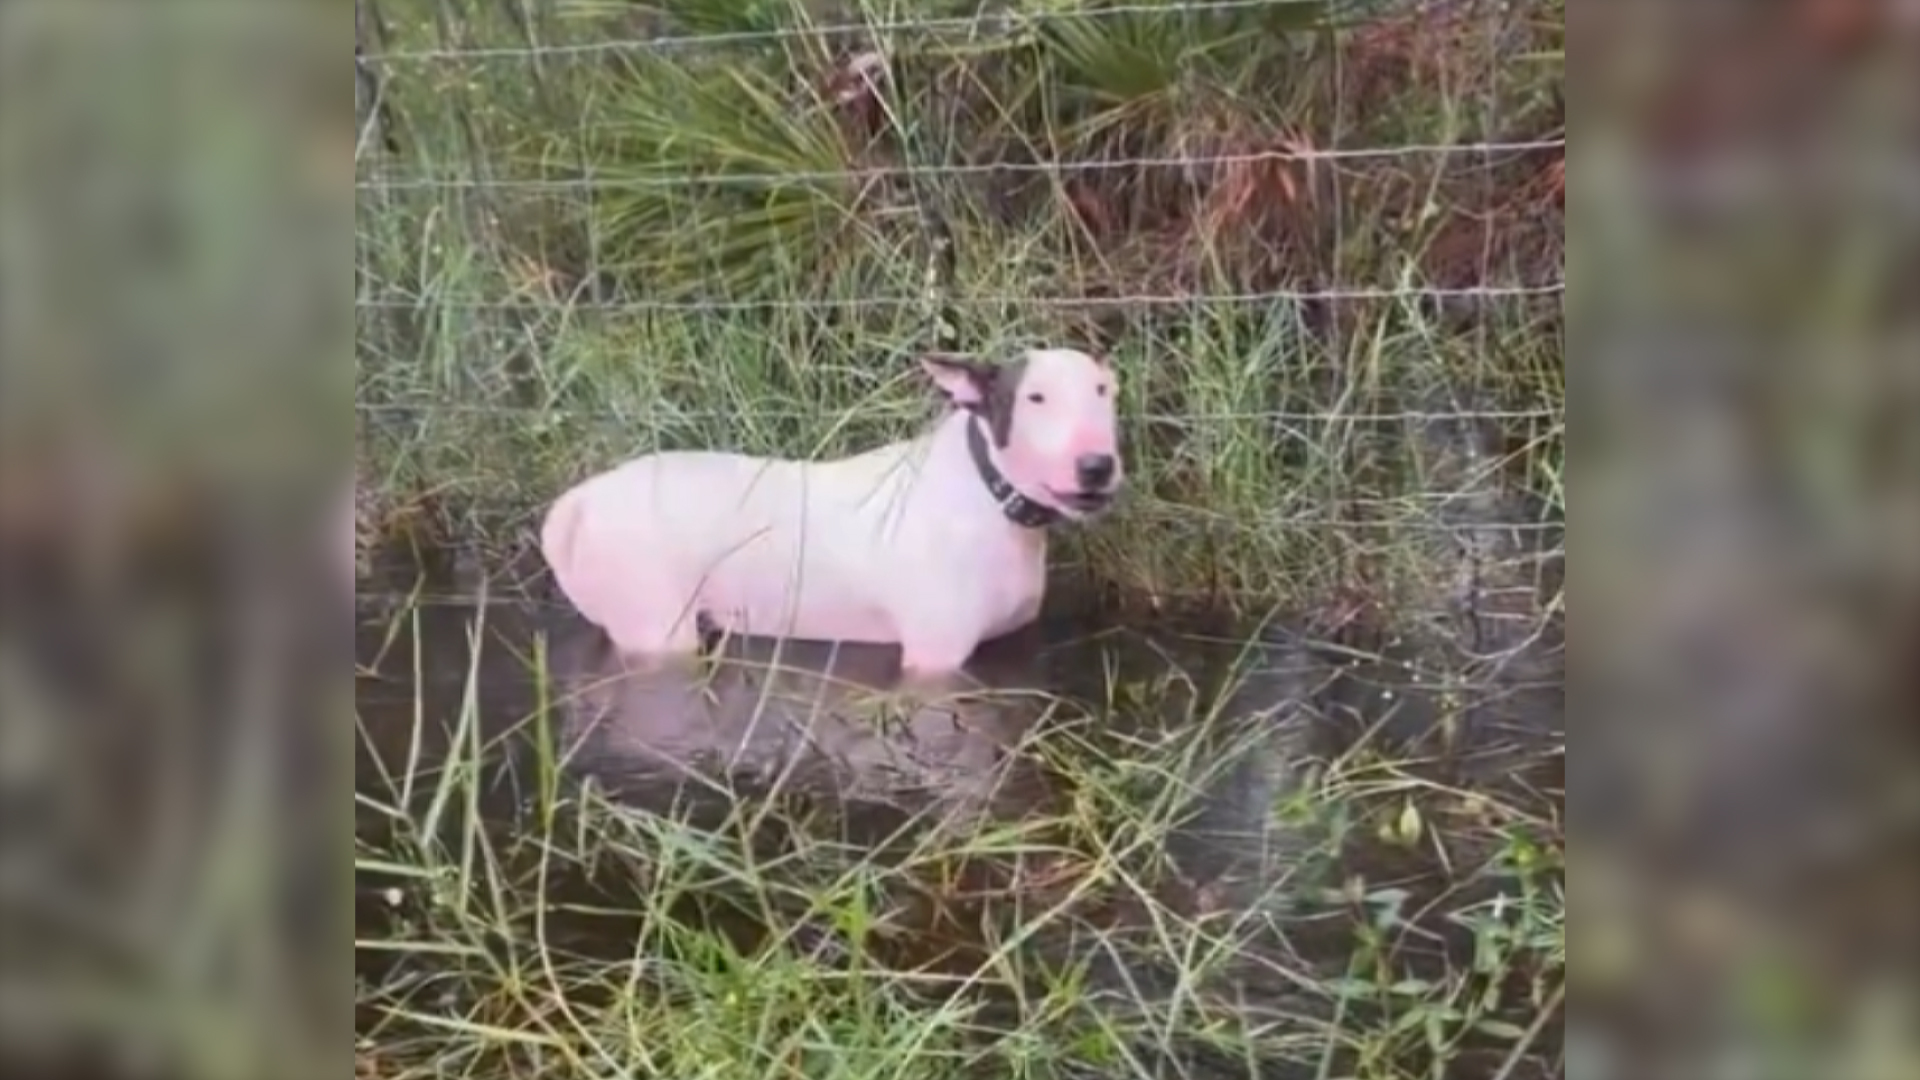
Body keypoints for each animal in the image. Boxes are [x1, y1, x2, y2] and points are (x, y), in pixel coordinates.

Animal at [537, 349, 1121, 676]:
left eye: (1103, 391)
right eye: (1034, 398)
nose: (1097, 465)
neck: (988, 494)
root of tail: (580, 500)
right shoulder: (933, 658)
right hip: (657, 625)